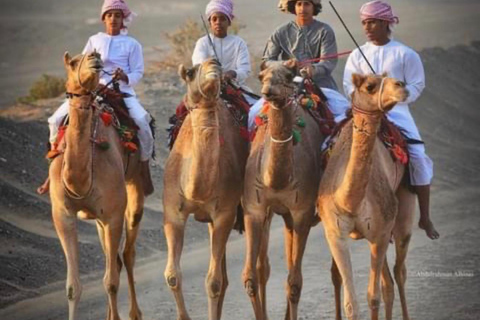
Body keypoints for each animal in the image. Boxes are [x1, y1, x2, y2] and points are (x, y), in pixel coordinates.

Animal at [49, 50, 146, 320]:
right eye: (73, 62)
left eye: (95, 56)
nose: (94, 57)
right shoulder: (63, 215)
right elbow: (73, 287)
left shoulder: (112, 214)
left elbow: (111, 281)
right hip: (98, 220)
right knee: (114, 259)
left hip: (134, 185)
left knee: (127, 254)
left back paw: (135, 312)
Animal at [163, 58, 249, 320]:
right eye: (191, 72)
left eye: (218, 69)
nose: (214, 63)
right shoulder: (173, 212)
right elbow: (172, 276)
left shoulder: (224, 214)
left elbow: (213, 282)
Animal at [242, 60, 324, 320]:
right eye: (262, 76)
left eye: (288, 75)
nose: (269, 91)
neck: (277, 180)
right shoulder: (255, 209)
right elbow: (250, 278)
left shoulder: (302, 213)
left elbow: (295, 282)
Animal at [316, 74, 414, 320]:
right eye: (370, 86)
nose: (402, 86)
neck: (349, 203)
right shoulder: (336, 234)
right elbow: (351, 303)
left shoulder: (379, 234)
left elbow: (373, 296)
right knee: (388, 282)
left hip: (401, 209)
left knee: (399, 272)